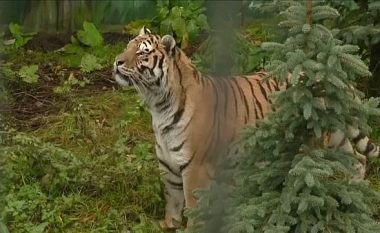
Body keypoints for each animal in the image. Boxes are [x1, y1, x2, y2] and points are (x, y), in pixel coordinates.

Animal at [111, 26, 378, 228]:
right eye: (128, 46)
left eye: (142, 53)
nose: (116, 62)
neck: (159, 105)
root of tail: (333, 74)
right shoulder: (169, 167)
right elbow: (173, 204)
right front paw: (169, 225)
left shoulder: (195, 168)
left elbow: (193, 209)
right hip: (336, 136)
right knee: (358, 159)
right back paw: (355, 195)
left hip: (317, 141)